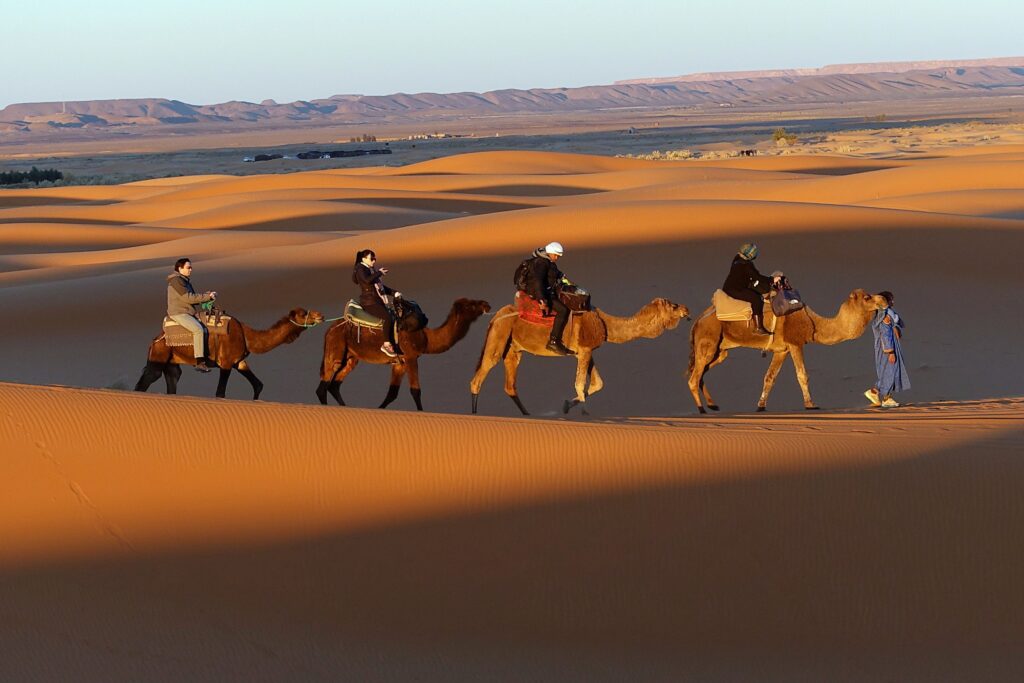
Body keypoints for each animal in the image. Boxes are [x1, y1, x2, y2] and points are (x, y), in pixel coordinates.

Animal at [134, 305, 321, 397]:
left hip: (171, 364)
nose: (320, 315)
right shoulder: (225, 363)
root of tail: (155, 340)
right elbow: (220, 393)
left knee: (172, 382)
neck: (247, 336)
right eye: (303, 314)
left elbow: (258, 385)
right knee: (144, 382)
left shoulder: (239, 362)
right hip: (158, 357)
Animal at [317, 299, 493, 411]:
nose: (487, 304)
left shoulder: (399, 363)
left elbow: (392, 393)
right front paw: (421, 412)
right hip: (336, 349)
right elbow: (415, 390)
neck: (425, 337)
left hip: (351, 357)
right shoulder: (410, 357)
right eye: (472, 305)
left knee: (334, 384)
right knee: (324, 385)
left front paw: (379, 409)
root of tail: (328, 330)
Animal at [468, 296, 688, 413]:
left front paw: (567, 405)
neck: (605, 324)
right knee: (479, 377)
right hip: (499, 337)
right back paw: (476, 415)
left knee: (510, 385)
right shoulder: (584, 350)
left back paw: (528, 415)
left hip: (513, 349)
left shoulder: (585, 351)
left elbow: (597, 384)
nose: (686, 309)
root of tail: (495, 317)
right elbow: (580, 384)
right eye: (673, 305)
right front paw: (585, 413)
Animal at [688, 288, 888, 411]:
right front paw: (811, 404)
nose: (886, 298)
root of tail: (698, 320)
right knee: (694, 377)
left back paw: (712, 405)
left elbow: (769, 377)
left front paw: (761, 406)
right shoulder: (795, 343)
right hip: (708, 341)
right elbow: (802, 375)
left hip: (719, 350)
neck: (812, 322)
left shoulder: (781, 350)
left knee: (701, 373)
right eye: (867, 297)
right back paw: (701, 409)